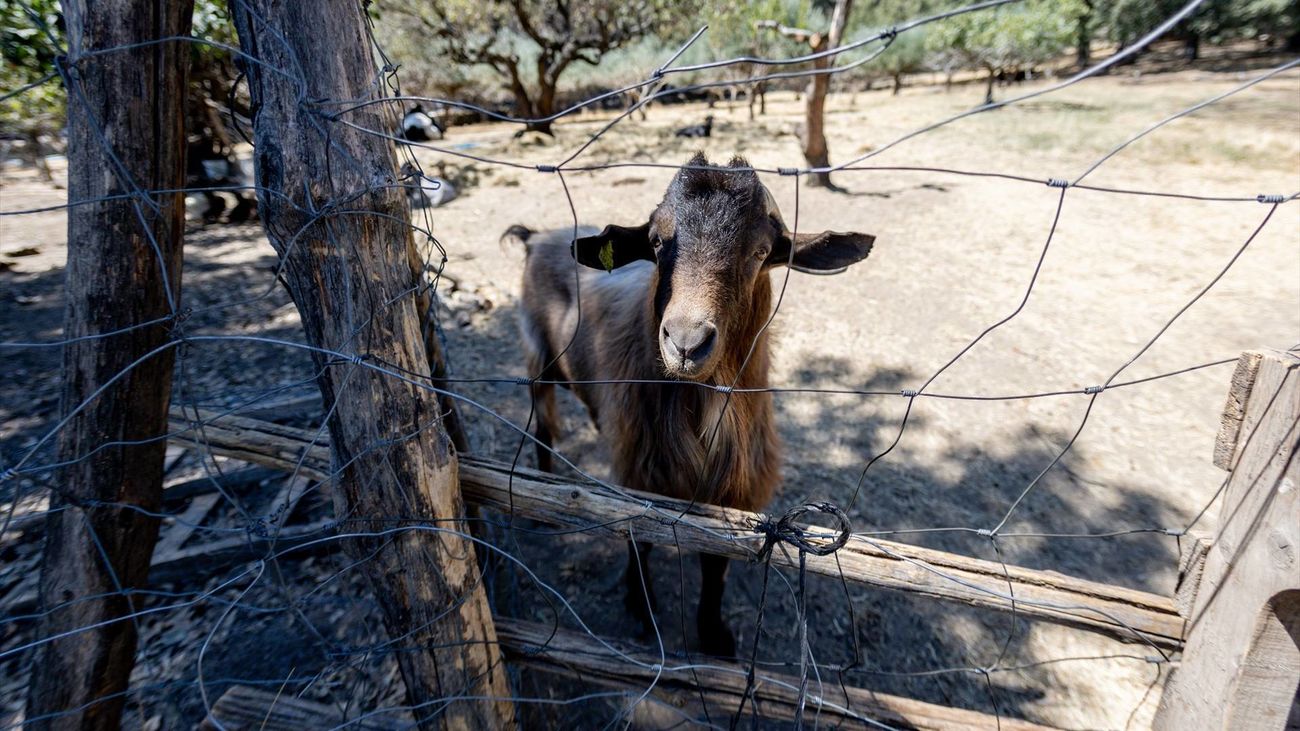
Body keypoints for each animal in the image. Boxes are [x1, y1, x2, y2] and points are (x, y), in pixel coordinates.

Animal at [508, 154, 875, 656]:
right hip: (538, 358)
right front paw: (641, 609)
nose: (686, 342)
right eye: (657, 241)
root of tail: (537, 236)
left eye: (761, 252)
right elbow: (639, 539)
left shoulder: (731, 487)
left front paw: (714, 635)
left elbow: (716, 562)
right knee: (543, 426)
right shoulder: (639, 472)